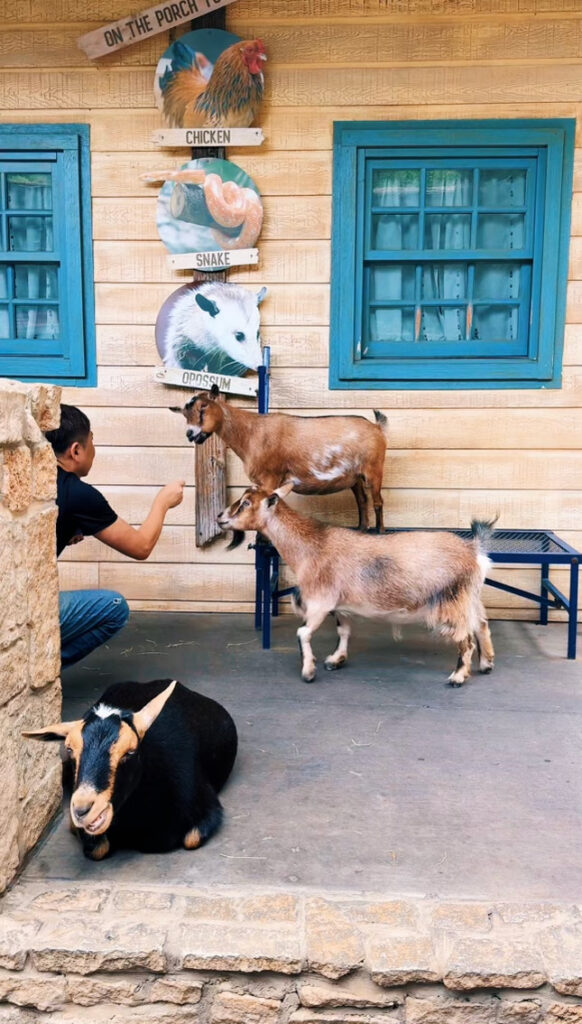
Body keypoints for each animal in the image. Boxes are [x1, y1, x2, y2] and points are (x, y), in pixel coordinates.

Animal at [22, 684, 236, 860]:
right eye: (69, 749)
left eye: (130, 752)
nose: (82, 810)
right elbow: (97, 849)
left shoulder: (208, 805)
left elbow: (192, 839)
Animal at [173, 385, 391, 536]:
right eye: (184, 414)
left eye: (203, 407)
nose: (191, 434)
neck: (251, 432)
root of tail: (376, 427)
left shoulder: (270, 476)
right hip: (355, 477)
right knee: (362, 500)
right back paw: (362, 529)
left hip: (374, 469)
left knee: (378, 501)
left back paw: (380, 531)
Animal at [218, 485, 495, 688]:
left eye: (246, 503)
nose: (220, 518)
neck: (311, 546)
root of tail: (473, 550)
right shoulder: (340, 605)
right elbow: (344, 631)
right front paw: (335, 659)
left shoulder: (320, 602)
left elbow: (303, 633)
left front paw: (309, 671)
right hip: (470, 597)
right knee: (481, 625)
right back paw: (486, 664)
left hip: (452, 601)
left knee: (466, 640)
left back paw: (458, 677)